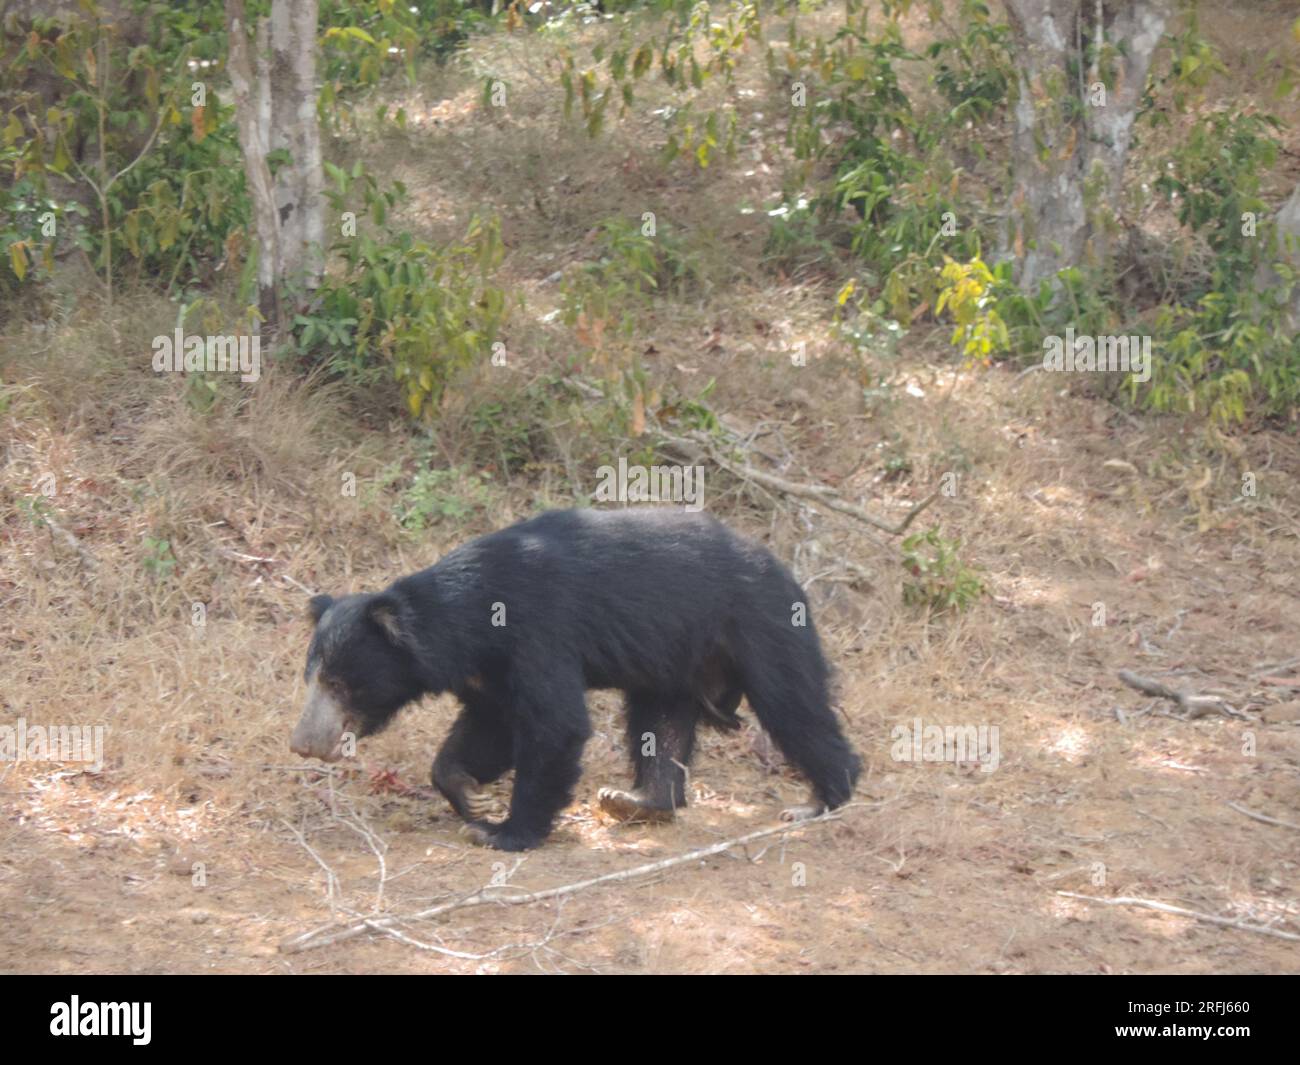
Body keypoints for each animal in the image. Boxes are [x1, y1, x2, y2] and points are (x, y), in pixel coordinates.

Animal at [290, 507, 861, 851]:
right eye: (311, 678)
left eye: (339, 684)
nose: (302, 744)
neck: (468, 621)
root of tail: (786, 570)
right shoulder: (489, 673)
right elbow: (492, 726)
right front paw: (467, 792)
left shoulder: (538, 633)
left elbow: (553, 725)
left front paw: (503, 832)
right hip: (676, 659)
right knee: (661, 721)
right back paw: (639, 800)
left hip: (761, 627)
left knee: (793, 705)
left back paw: (819, 801)